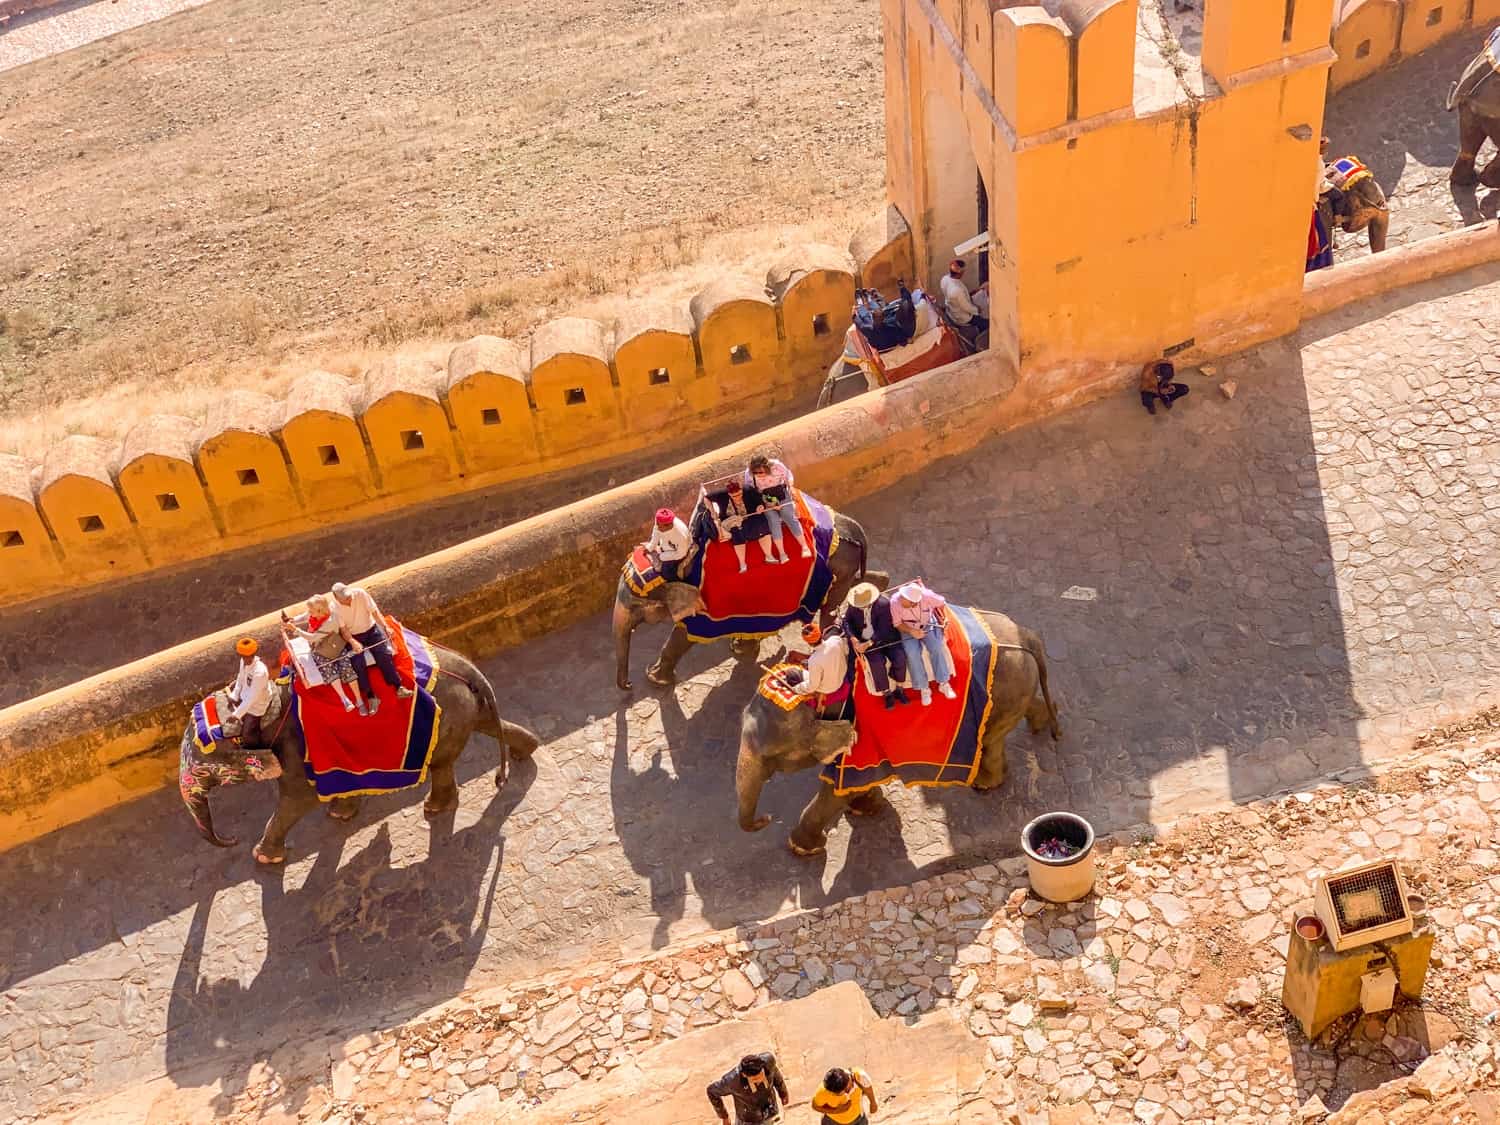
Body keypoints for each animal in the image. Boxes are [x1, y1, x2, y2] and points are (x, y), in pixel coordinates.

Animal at [177, 642, 540, 864]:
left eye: (203, 770)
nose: (232, 840)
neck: (268, 704)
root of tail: (469, 670)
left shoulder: (293, 750)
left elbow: (298, 800)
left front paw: (264, 858)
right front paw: (341, 814)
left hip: (449, 714)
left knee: (442, 762)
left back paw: (435, 808)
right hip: (467, 708)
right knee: (481, 730)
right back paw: (527, 749)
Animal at [615, 507, 882, 693]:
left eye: (635, 606)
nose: (629, 686)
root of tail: (855, 529)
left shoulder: (706, 600)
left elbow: (683, 635)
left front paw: (655, 680)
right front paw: (741, 648)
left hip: (839, 565)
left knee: (829, 609)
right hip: (845, 567)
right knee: (852, 585)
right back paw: (881, 585)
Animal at [732, 612, 1062, 858]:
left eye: (772, 756)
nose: (766, 819)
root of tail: (1026, 637)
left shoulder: (860, 727)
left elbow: (842, 784)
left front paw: (803, 848)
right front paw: (866, 807)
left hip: (1002, 690)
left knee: (991, 739)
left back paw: (984, 785)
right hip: (1013, 688)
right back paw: (1041, 724)